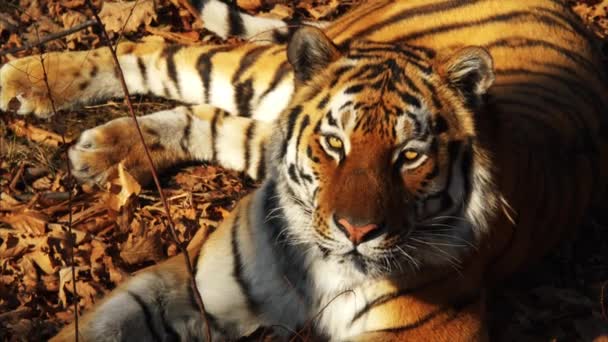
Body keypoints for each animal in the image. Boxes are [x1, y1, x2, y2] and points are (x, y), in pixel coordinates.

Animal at [1, 0, 608, 340]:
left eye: (409, 156)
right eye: (334, 143)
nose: (357, 231)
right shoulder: (189, 281)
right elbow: (93, 327)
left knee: (210, 116)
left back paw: (104, 150)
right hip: (260, 70)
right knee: (149, 51)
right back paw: (27, 80)